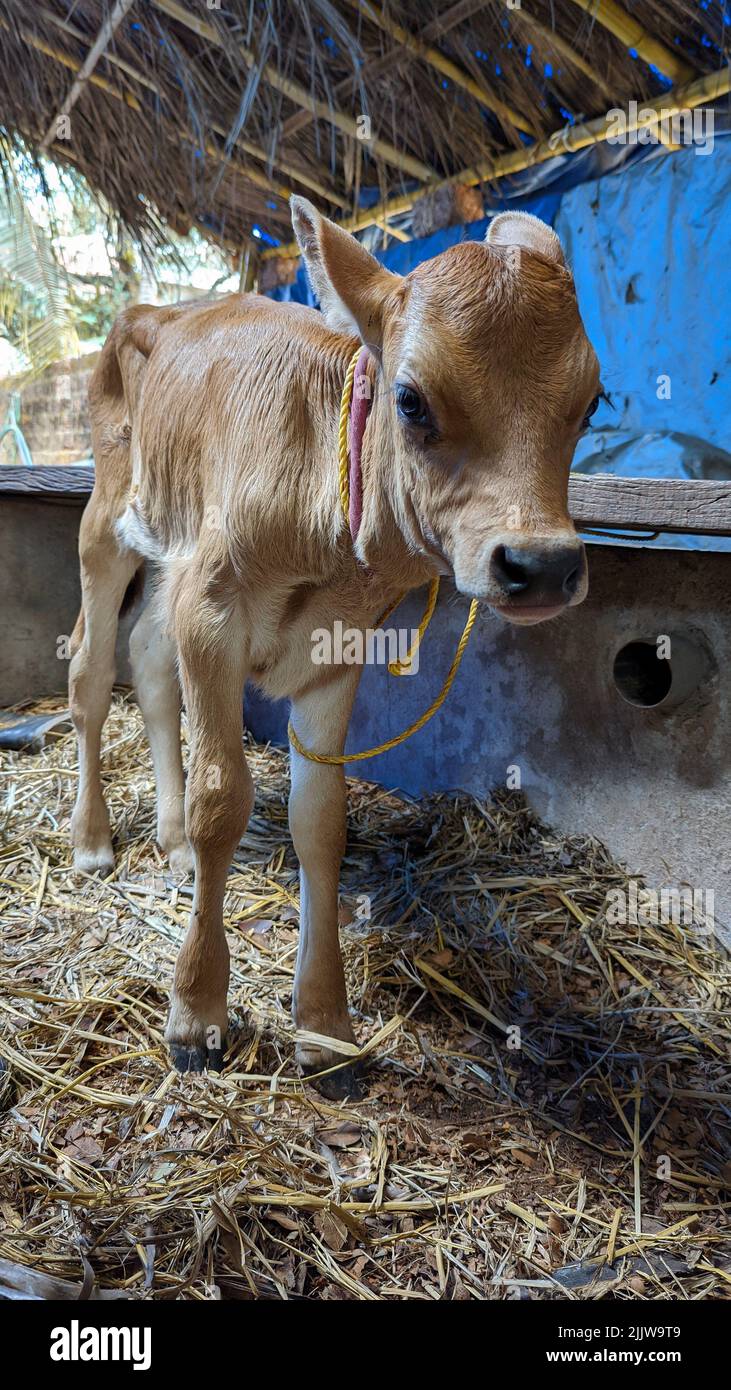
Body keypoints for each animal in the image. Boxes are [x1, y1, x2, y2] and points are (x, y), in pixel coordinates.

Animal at [70, 198, 603, 1095]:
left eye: (592, 402)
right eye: (411, 400)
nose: (542, 565)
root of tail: (156, 309)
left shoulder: (333, 652)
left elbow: (320, 825)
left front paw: (323, 1025)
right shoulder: (211, 610)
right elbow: (224, 801)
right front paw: (197, 1012)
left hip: (172, 552)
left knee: (144, 660)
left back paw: (169, 843)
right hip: (108, 519)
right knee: (87, 669)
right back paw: (92, 842)